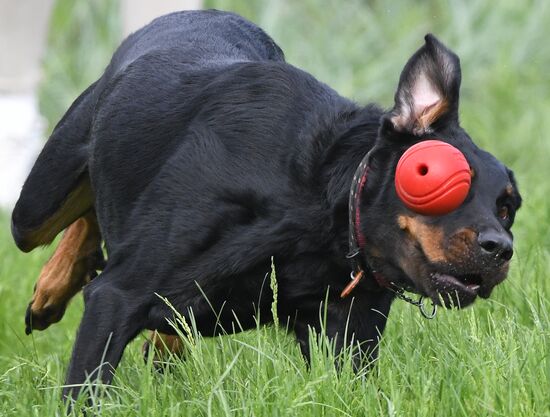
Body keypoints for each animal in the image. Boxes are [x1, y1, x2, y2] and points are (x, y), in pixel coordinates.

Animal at [11, 9, 520, 400]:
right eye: (433, 177)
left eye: (508, 208)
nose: (501, 248)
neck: (320, 206)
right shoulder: (118, 297)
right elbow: (85, 388)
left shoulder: (351, 333)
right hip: (36, 206)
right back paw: (52, 288)